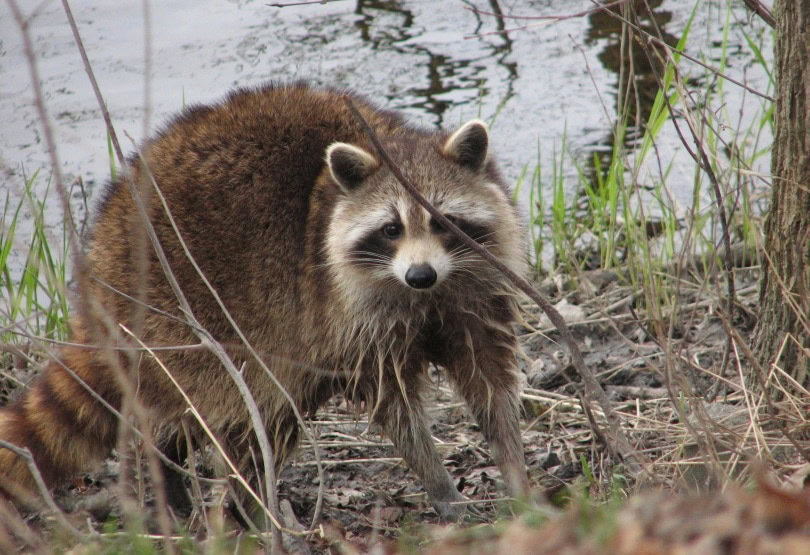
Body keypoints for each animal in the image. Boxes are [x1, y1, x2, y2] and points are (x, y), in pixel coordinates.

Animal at [0, 82, 529, 520]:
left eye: (441, 220)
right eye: (391, 229)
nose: (420, 275)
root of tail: (97, 274)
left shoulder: (474, 292)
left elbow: (489, 379)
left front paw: (513, 465)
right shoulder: (349, 314)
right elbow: (396, 407)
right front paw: (440, 484)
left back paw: (176, 469)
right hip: (186, 320)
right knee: (256, 406)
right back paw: (246, 505)